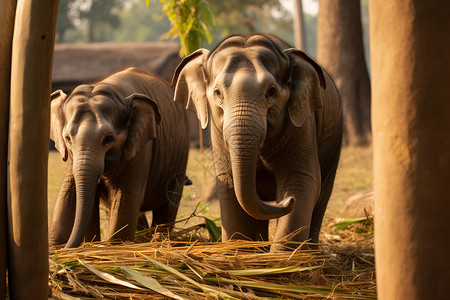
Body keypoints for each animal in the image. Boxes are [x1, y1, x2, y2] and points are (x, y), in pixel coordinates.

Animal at [49, 67, 190, 248]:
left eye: (108, 139)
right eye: (67, 138)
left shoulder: (140, 150)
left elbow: (125, 199)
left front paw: (114, 244)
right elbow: (68, 193)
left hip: (179, 162)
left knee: (167, 207)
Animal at [172, 34, 342, 251]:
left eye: (271, 91)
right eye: (218, 92)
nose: (287, 200)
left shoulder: (302, 125)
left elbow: (302, 180)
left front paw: (282, 257)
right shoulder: (218, 134)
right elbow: (229, 185)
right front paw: (241, 250)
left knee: (321, 198)